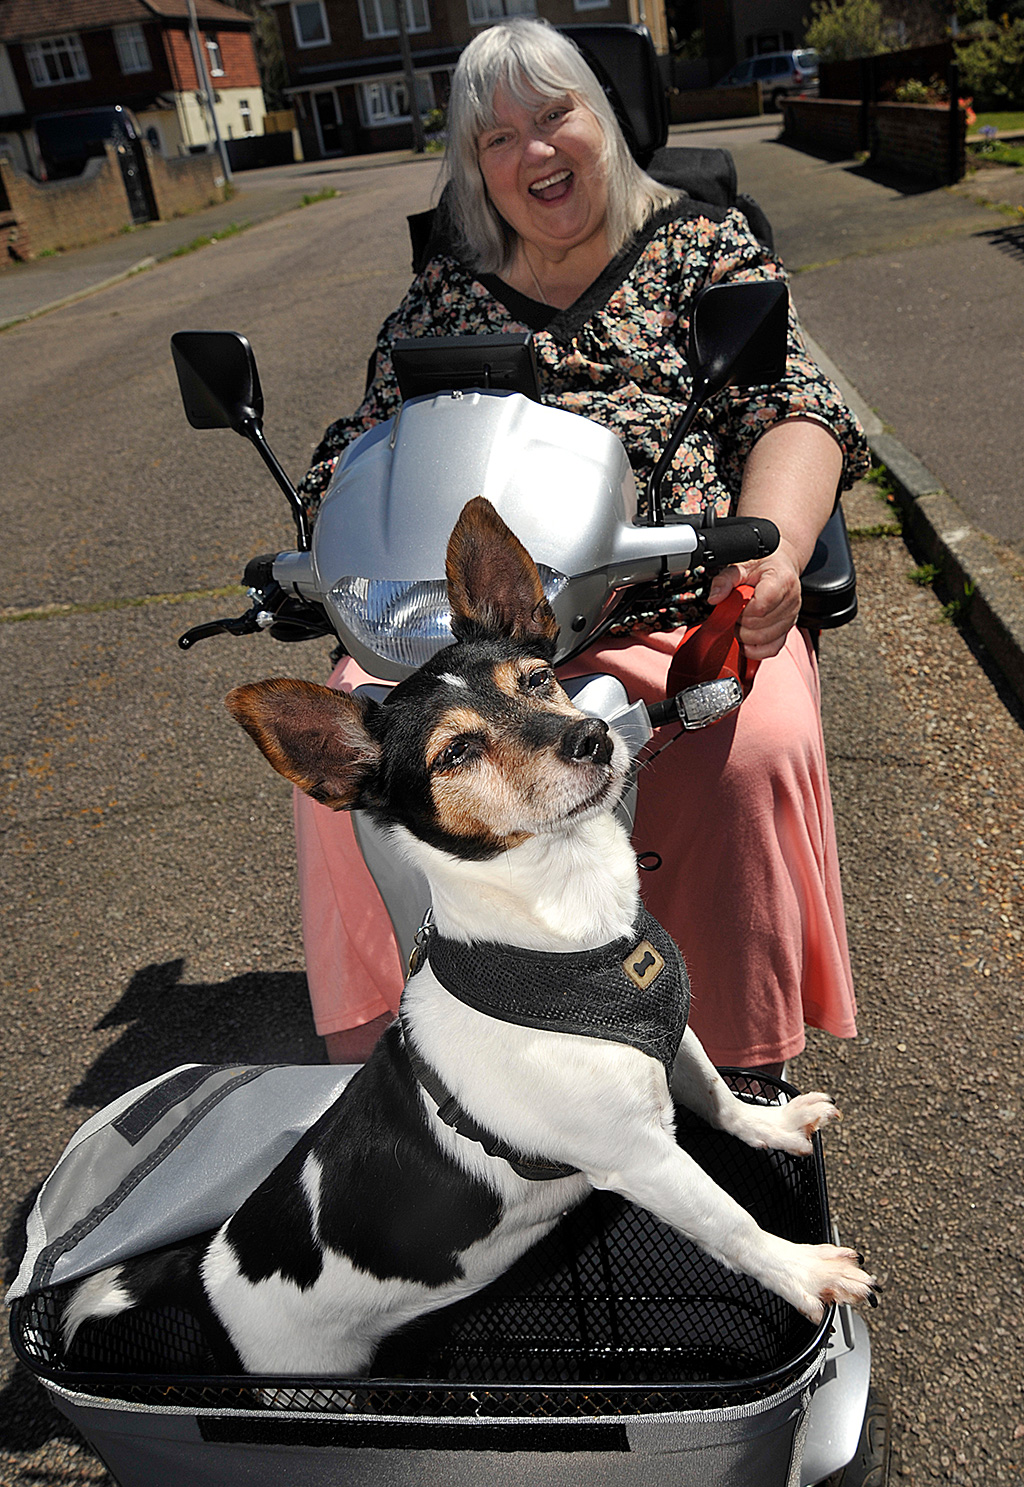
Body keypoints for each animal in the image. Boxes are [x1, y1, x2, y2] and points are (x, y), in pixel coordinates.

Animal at [62, 493, 879, 1373]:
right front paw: (802, 1270)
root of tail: (206, 1266)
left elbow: (717, 1093)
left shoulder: (674, 1039)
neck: (571, 932)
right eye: (455, 752)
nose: (593, 739)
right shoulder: (641, 1160)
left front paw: (769, 1124)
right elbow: (730, 1221)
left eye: (540, 679)